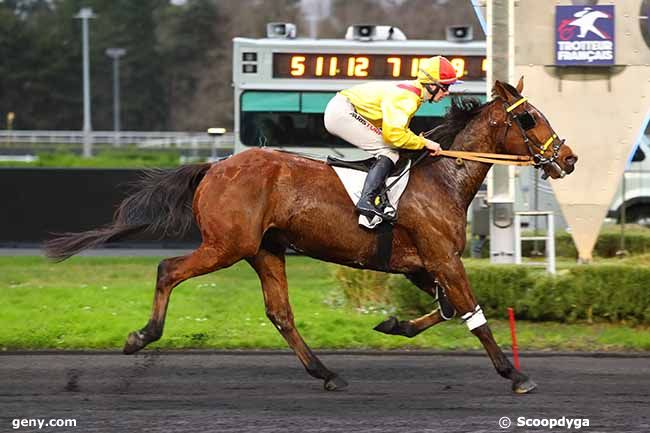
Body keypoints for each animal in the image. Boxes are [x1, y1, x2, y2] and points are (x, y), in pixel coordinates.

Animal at [46, 79, 576, 394]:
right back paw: (142, 335)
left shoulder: (422, 264)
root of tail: (215, 167)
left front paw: (393, 325)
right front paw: (515, 374)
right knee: (167, 269)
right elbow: (473, 314)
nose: (568, 158)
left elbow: (448, 310)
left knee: (280, 313)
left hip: (264, 250)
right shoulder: (442, 258)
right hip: (227, 245)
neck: (442, 178)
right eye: (528, 118)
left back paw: (326, 372)